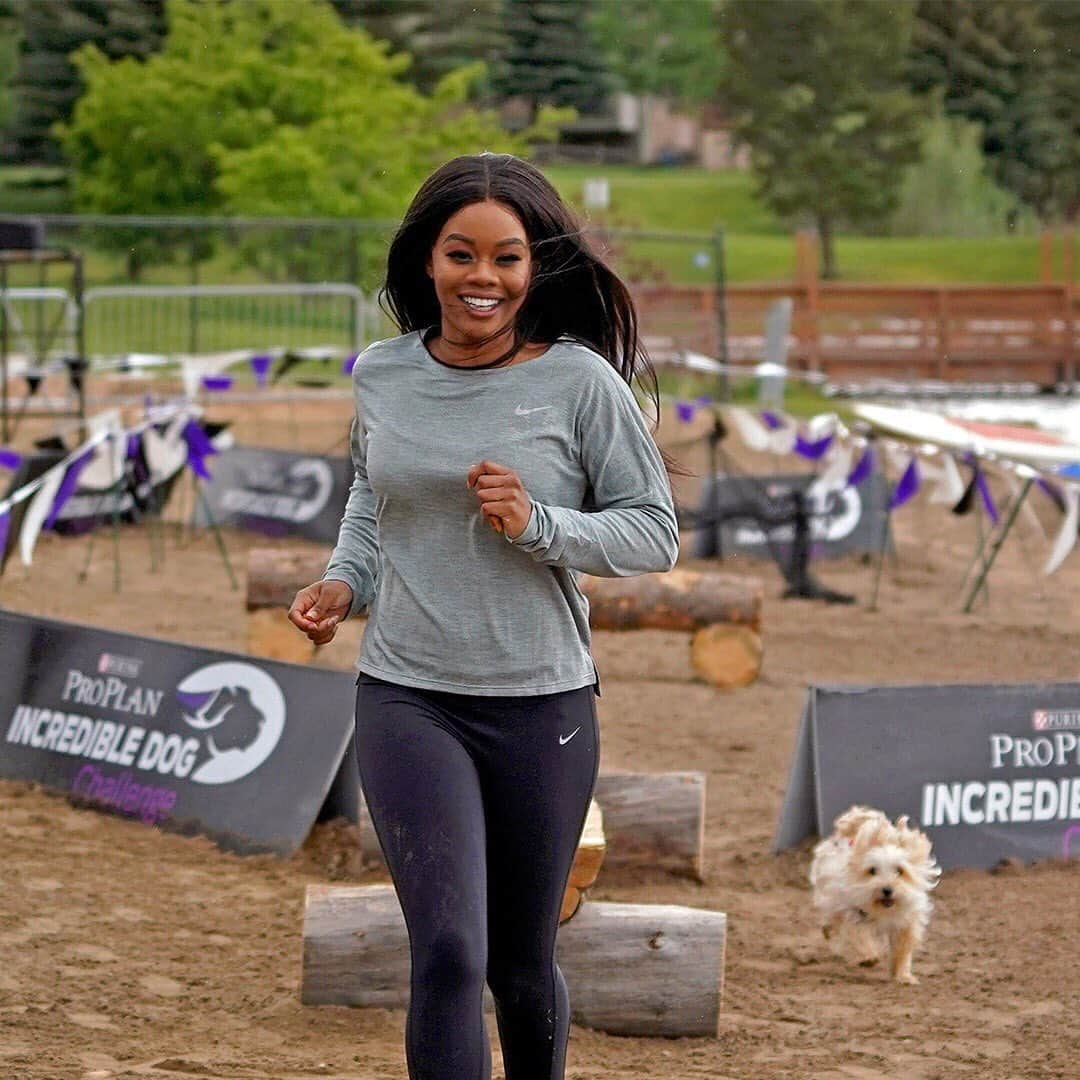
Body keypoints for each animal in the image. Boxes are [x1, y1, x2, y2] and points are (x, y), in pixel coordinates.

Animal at [812, 807, 937, 984]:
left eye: (899, 870)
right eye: (872, 871)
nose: (887, 889)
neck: (882, 910)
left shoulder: (905, 921)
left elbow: (902, 949)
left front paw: (903, 976)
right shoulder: (853, 912)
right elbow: (857, 934)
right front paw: (868, 956)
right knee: (833, 922)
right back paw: (829, 931)